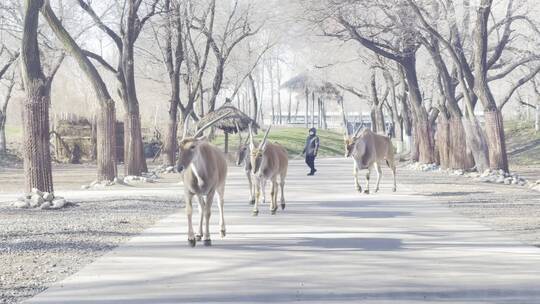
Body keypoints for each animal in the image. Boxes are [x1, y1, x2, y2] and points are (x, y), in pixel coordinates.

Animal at [175, 111, 230, 247]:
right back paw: (199, 234)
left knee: (220, 203)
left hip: (221, 186)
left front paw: (207, 238)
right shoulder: (189, 191)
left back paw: (222, 230)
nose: (179, 167)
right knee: (201, 208)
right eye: (179, 146)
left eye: (193, 146)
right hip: (199, 194)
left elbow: (208, 212)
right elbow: (190, 211)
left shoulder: (210, 191)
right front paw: (191, 238)